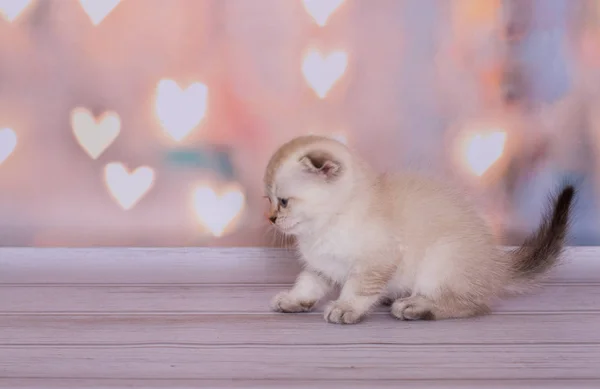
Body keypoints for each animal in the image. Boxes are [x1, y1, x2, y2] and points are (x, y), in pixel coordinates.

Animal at [264, 135, 576, 322]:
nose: (271, 219)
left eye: (284, 202)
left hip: (442, 258)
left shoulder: (378, 259)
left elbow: (359, 288)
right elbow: (307, 282)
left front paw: (345, 308)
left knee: (471, 305)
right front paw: (294, 301)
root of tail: (496, 264)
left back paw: (415, 306)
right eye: (268, 200)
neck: (325, 226)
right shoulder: (322, 265)